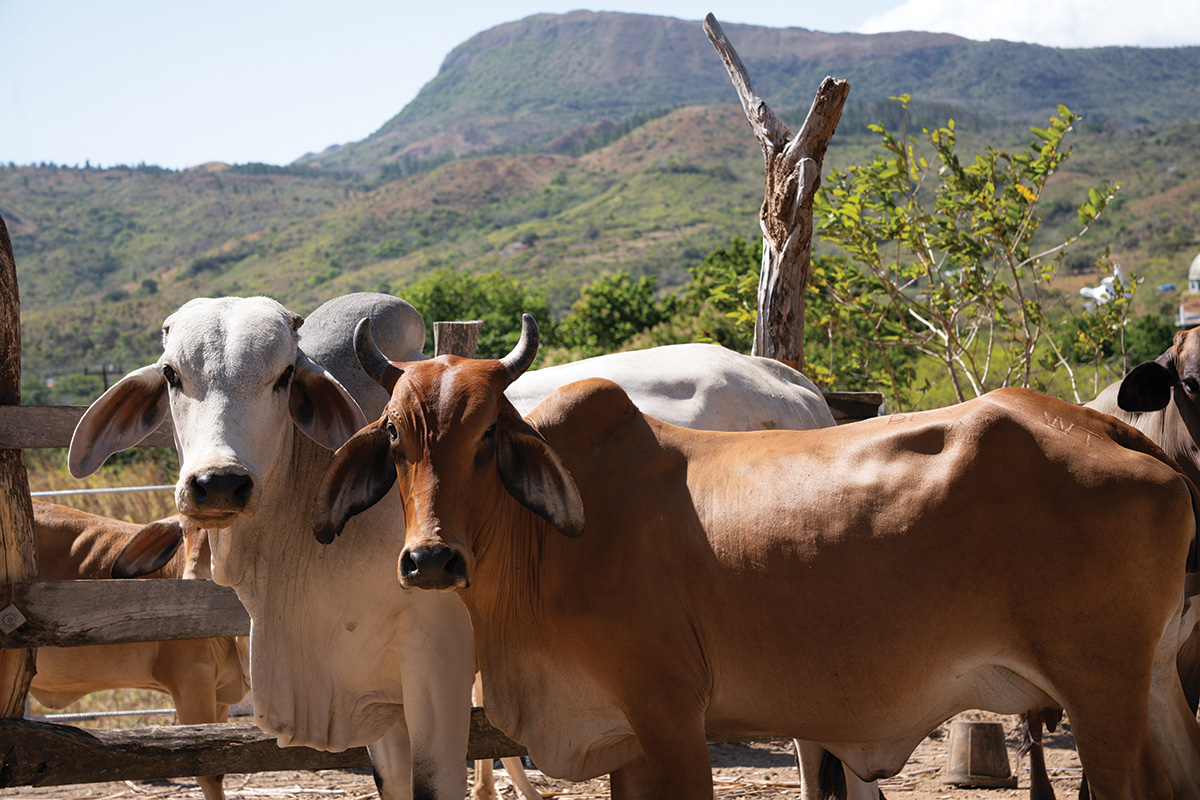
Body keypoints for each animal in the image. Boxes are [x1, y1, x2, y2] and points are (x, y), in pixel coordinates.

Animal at [66, 293, 840, 800]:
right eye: (173, 374)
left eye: (284, 377)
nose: (218, 483)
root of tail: (796, 387)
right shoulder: (377, 696)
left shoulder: (436, 665)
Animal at [313, 313, 1200, 800]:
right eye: (395, 439)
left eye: (488, 436)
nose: (431, 562)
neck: (544, 550)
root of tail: (1100, 424)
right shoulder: (625, 743)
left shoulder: (671, 719)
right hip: (1153, 680)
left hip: (1100, 691)